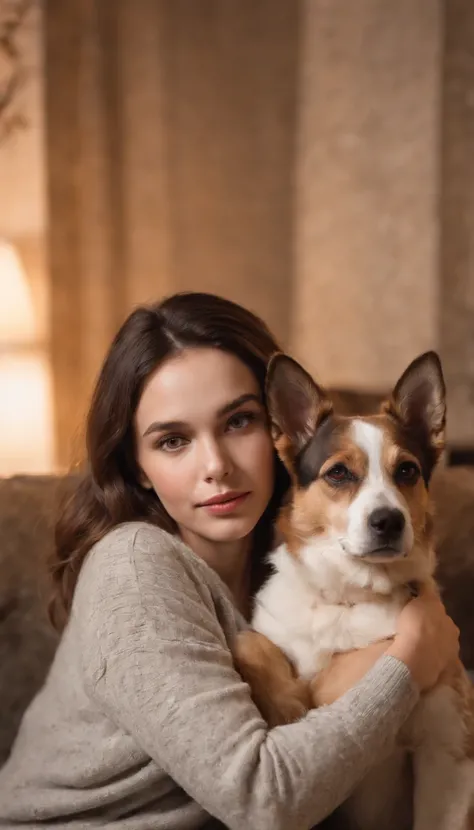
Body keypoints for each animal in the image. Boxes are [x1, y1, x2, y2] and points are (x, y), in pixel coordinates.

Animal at [233, 352, 474, 830]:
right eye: (339, 473)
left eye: (407, 471)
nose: (388, 522)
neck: (351, 596)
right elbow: (247, 641)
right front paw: (287, 703)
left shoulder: (447, 751)